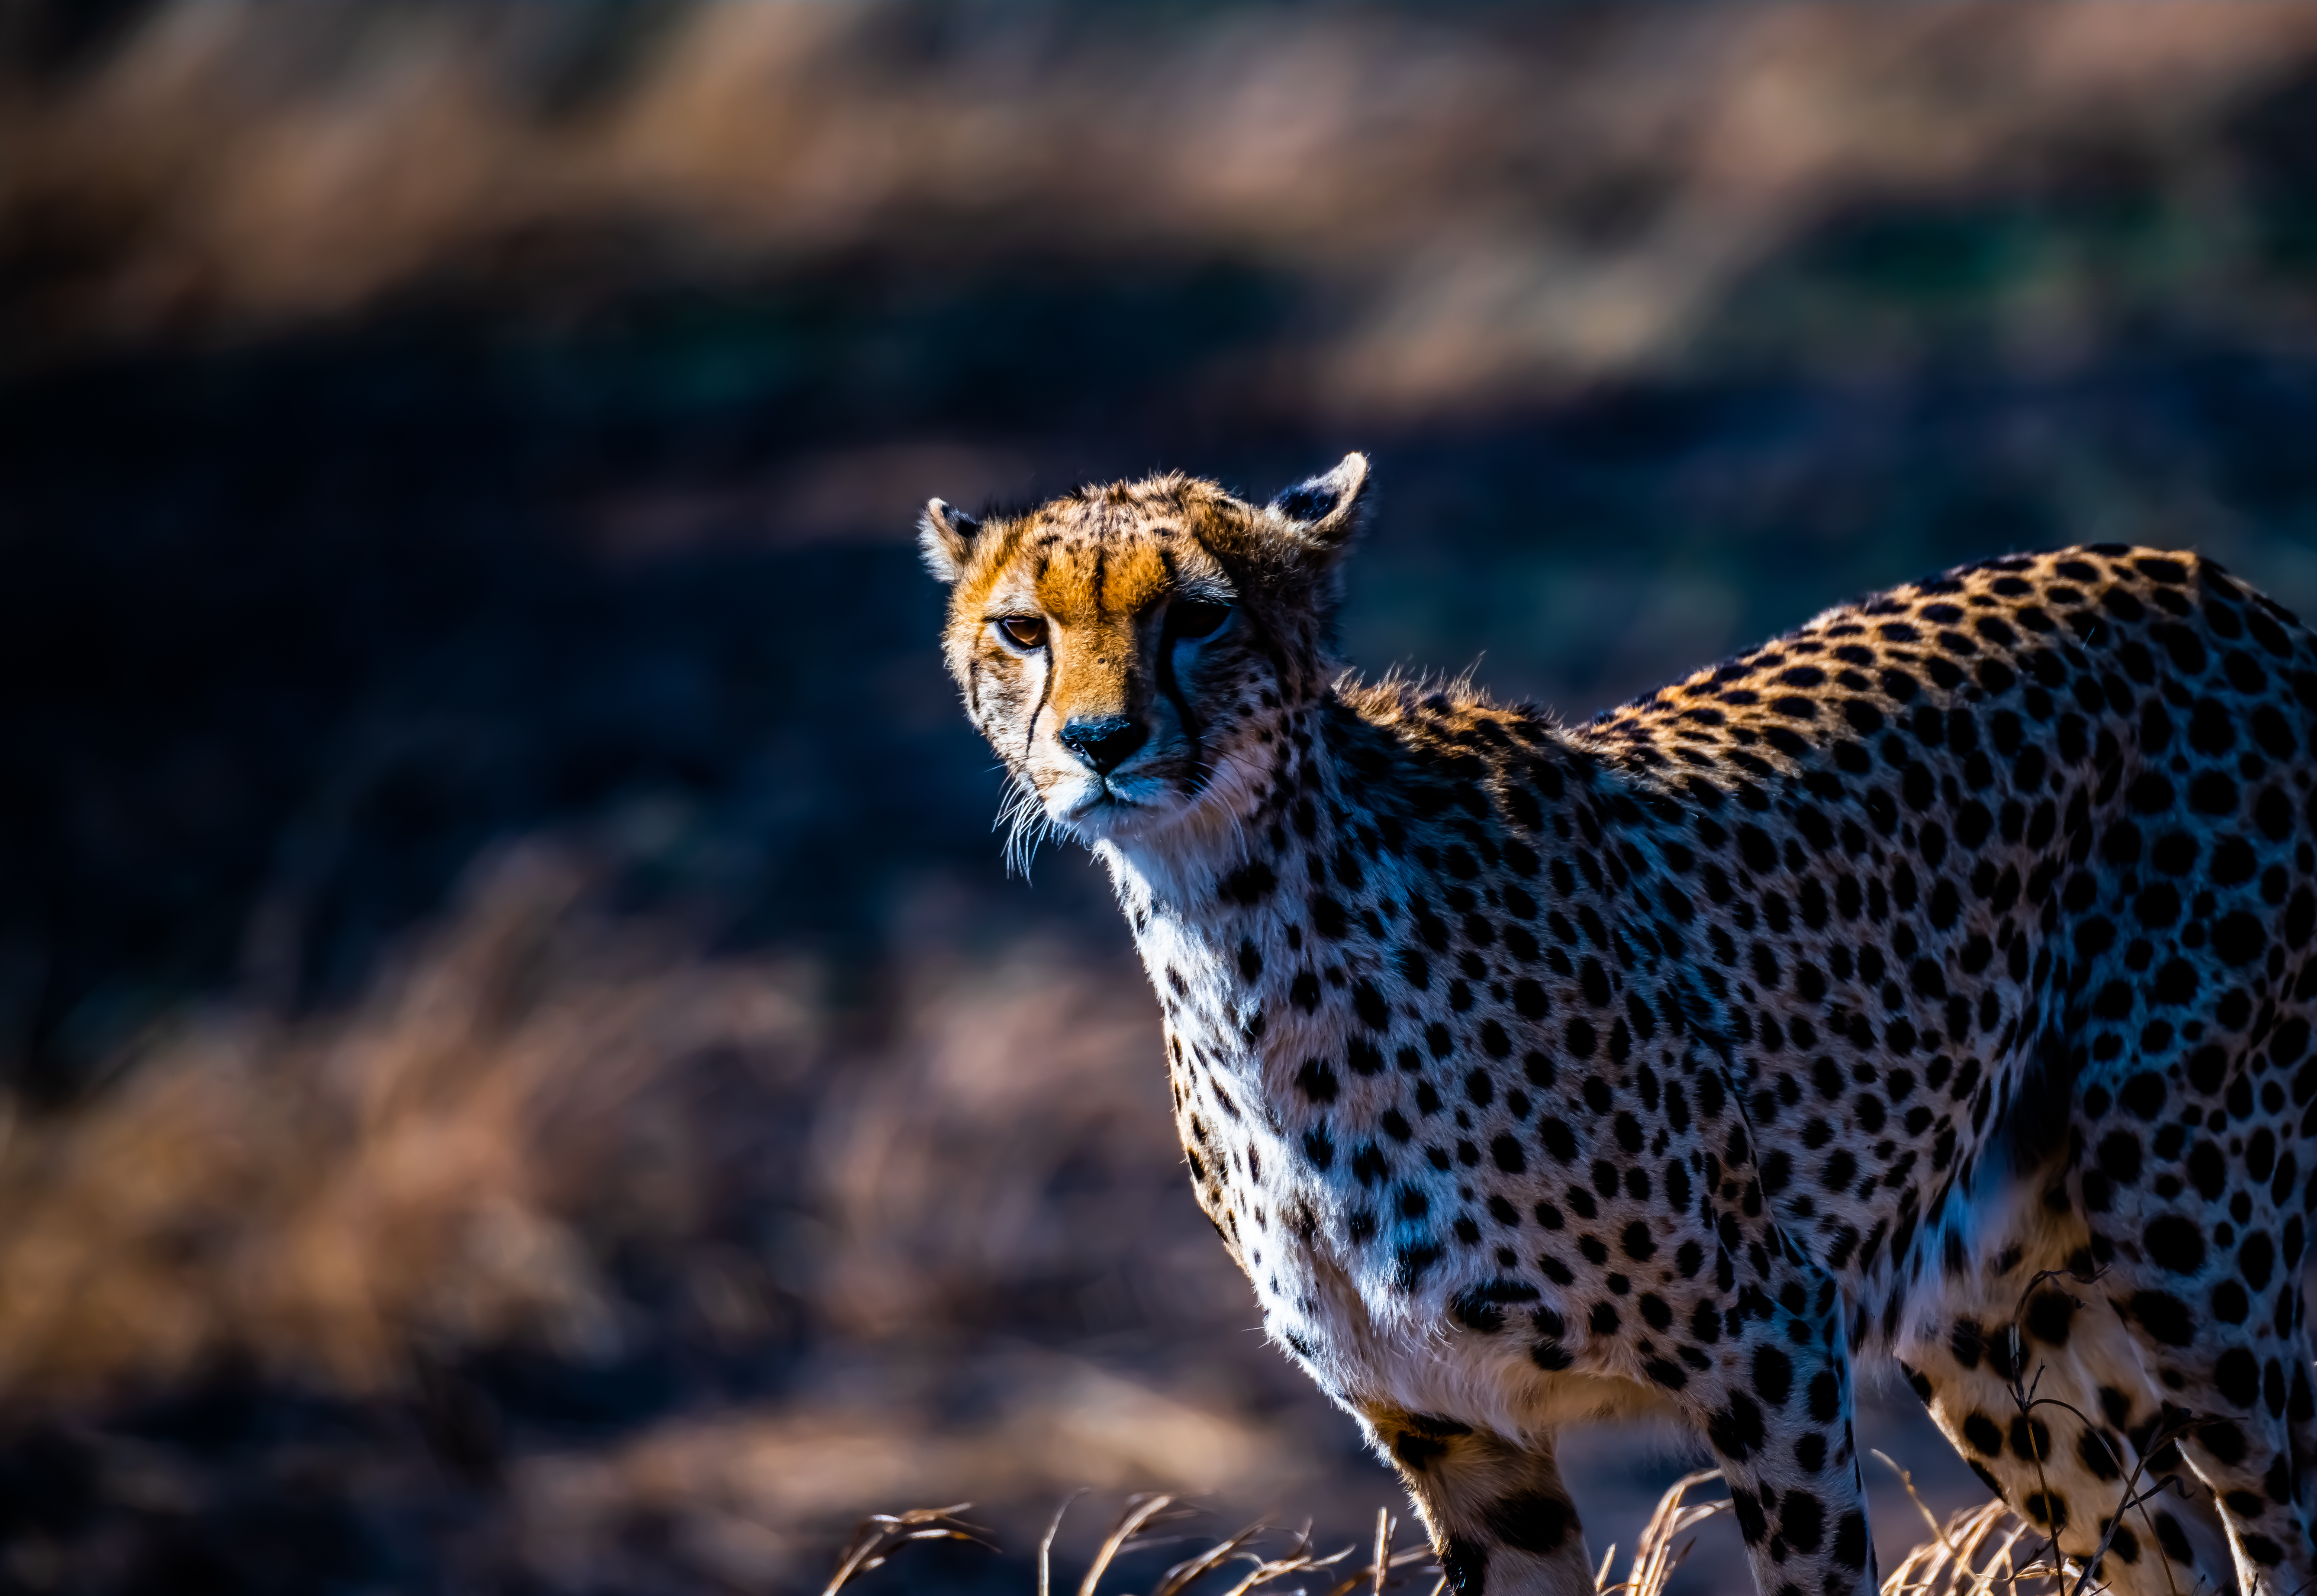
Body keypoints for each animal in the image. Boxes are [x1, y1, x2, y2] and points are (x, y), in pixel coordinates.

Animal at [918, 451, 2317, 1596]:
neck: (1236, 935)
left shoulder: (1769, 1341)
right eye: (1023, 629)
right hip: (1990, 1323)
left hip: (2190, 1233)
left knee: (2276, 1528)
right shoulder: (1460, 1440)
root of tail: (2196, 576)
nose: (1101, 741)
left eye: (1199, 615)